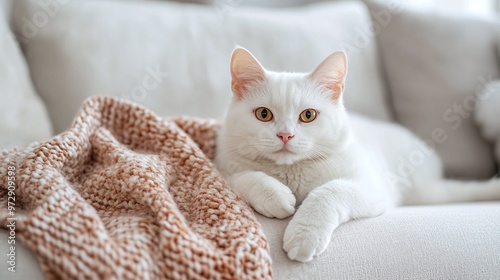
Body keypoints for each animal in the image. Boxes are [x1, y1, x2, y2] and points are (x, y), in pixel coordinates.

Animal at [214, 47, 500, 262]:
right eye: (264, 114)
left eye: (308, 115)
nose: (285, 135)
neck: (291, 171)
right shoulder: (224, 166)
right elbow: (241, 177)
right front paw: (275, 196)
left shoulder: (371, 187)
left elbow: (328, 191)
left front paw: (304, 235)